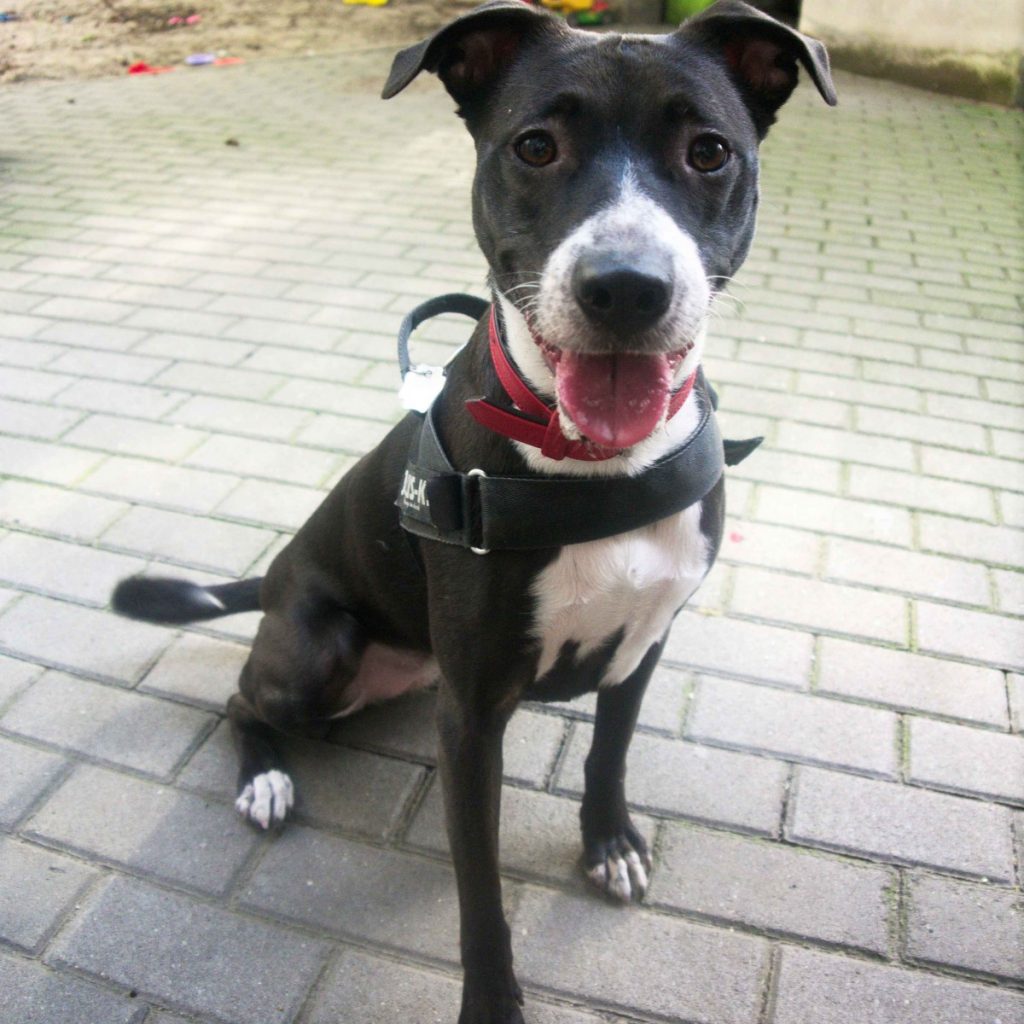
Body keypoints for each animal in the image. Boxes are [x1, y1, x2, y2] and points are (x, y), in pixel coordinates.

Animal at [110, 4, 831, 1019]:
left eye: (709, 151)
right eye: (535, 145)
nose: (626, 287)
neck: (591, 465)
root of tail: (277, 578)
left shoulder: (641, 649)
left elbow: (608, 756)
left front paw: (608, 842)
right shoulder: (473, 718)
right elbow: (480, 894)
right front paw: (493, 999)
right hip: (317, 650)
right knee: (242, 700)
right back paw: (265, 780)